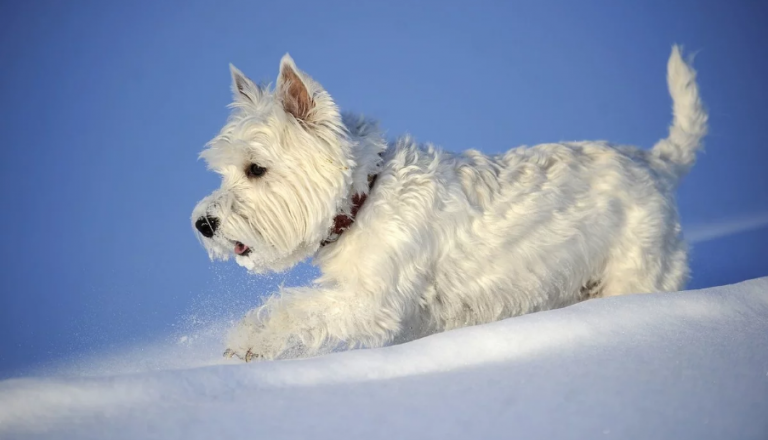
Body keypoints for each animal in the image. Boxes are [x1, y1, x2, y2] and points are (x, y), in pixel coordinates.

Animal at [192, 45, 708, 360]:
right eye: (223, 171)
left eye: (255, 169)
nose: (203, 223)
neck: (364, 198)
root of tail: (656, 162)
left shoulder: (372, 300)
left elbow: (296, 307)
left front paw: (247, 341)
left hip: (637, 270)